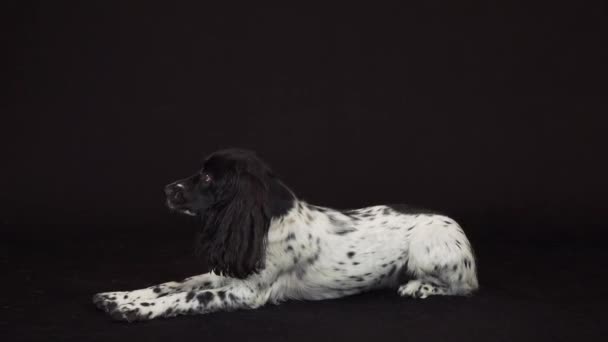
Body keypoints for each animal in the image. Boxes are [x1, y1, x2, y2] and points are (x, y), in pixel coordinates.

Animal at [92, 149, 478, 320]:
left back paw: (419, 287)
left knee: (464, 287)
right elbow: (173, 284)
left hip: (429, 250)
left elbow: (188, 297)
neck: (266, 222)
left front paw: (135, 309)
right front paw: (119, 296)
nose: (166, 189)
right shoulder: (229, 271)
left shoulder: (248, 292)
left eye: (208, 178)